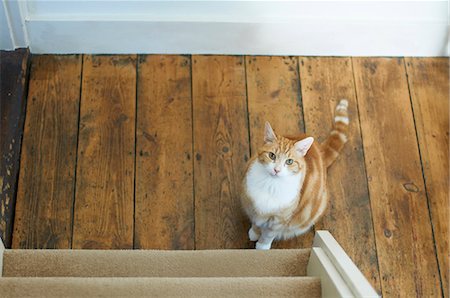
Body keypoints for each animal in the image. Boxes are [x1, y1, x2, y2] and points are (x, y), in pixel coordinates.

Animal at [241, 99, 350, 249]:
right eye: (272, 155)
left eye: (289, 161)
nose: (277, 170)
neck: (271, 185)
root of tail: (319, 151)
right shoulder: (253, 207)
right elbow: (257, 222)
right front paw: (254, 232)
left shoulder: (279, 220)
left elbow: (268, 234)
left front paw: (262, 246)